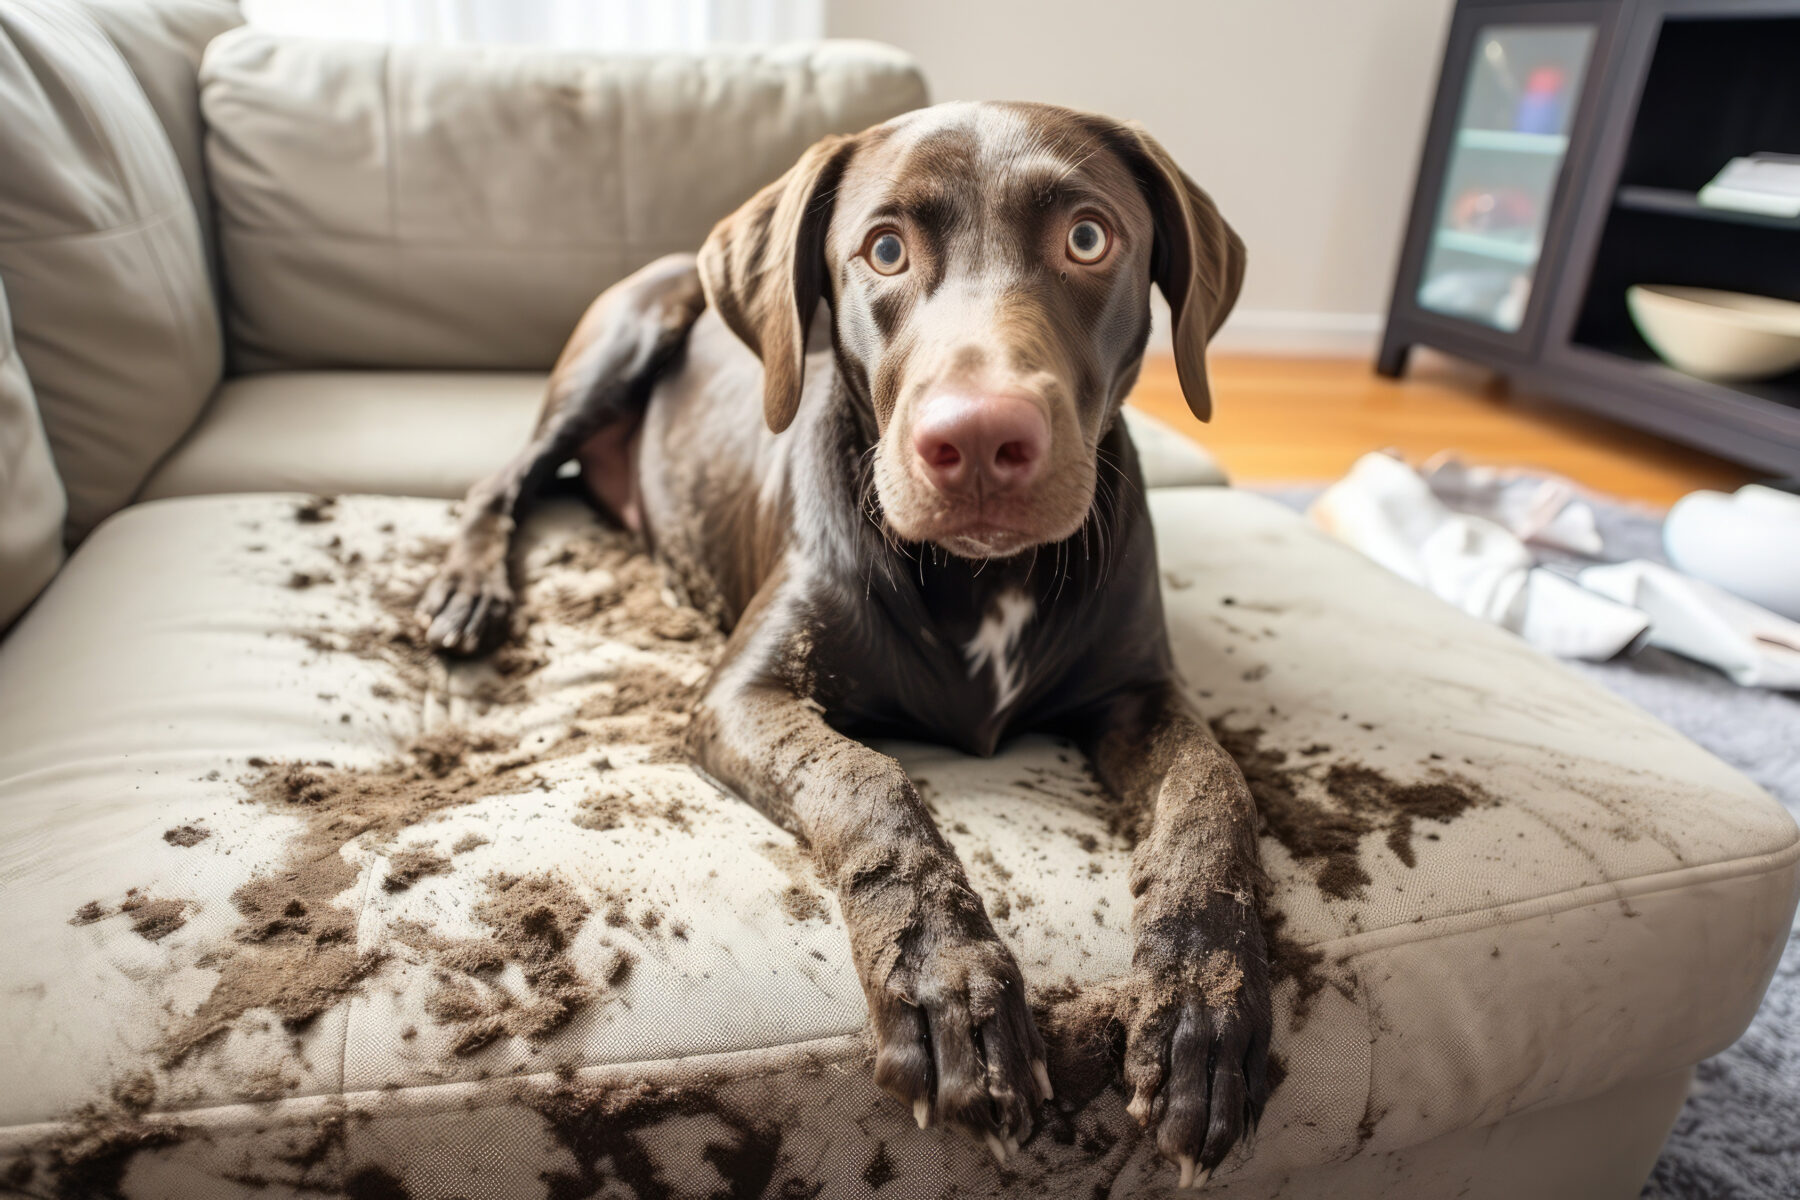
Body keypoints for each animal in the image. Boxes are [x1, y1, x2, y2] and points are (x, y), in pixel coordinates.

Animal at [419, 98, 1267, 1187]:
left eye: (1089, 237)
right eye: (885, 249)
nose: (979, 440)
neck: (980, 578)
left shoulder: (1137, 693)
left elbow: (1213, 794)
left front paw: (1206, 1012)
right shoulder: (745, 695)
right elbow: (867, 781)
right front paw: (950, 989)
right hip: (620, 341)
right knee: (508, 477)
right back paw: (467, 591)